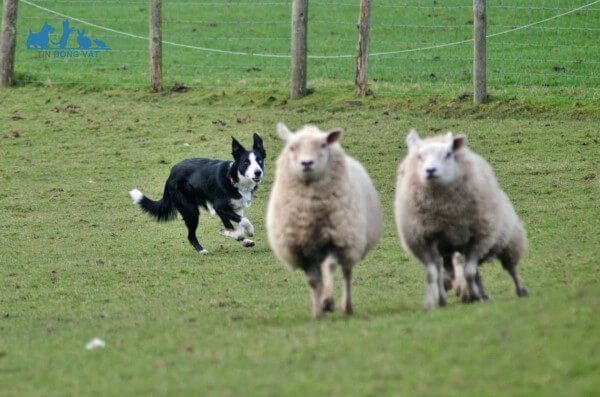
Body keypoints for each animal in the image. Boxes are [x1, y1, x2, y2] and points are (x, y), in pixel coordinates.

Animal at [130, 131, 266, 252]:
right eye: (246, 162)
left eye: (259, 161)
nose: (258, 172)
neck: (235, 179)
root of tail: (171, 174)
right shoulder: (220, 207)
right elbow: (244, 221)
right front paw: (248, 231)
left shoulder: (235, 208)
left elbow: (238, 224)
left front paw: (238, 236)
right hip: (191, 211)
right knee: (190, 236)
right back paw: (201, 250)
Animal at [266, 122, 382, 318]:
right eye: (292, 147)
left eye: (323, 145)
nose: (306, 163)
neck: (311, 211)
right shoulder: (301, 249)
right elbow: (313, 281)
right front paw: (319, 311)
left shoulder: (336, 239)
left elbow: (330, 266)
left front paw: (328, 301)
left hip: (350, 241)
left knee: (346, 273)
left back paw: (346, 307)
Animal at [396, 130, 528, 310]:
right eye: (420, 156)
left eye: (448, 154)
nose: (430, 170)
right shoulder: (425, 241)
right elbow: (433, 274)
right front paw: (433, 302)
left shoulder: (478, 238)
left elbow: (469, 273)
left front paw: (471, 295)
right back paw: (479, 294)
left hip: (509, 240)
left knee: (511, 267)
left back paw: (519, 290)